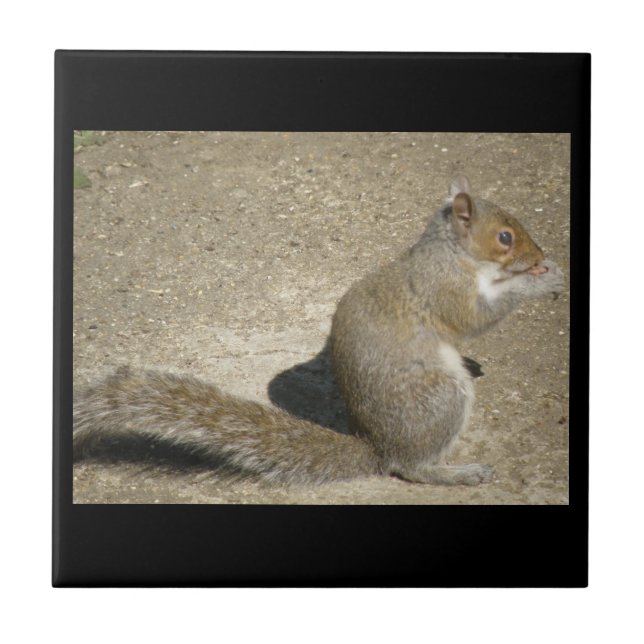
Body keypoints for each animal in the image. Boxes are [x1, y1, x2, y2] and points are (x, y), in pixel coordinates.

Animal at [73, 174, 564, 486]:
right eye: (504, 237)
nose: (540, 255)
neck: (453, 253)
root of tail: (378, 447)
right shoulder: (444, 289)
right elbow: (475, 319)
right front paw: (541, 281)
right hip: (440, 398)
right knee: (410, 468)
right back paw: (456, 473)